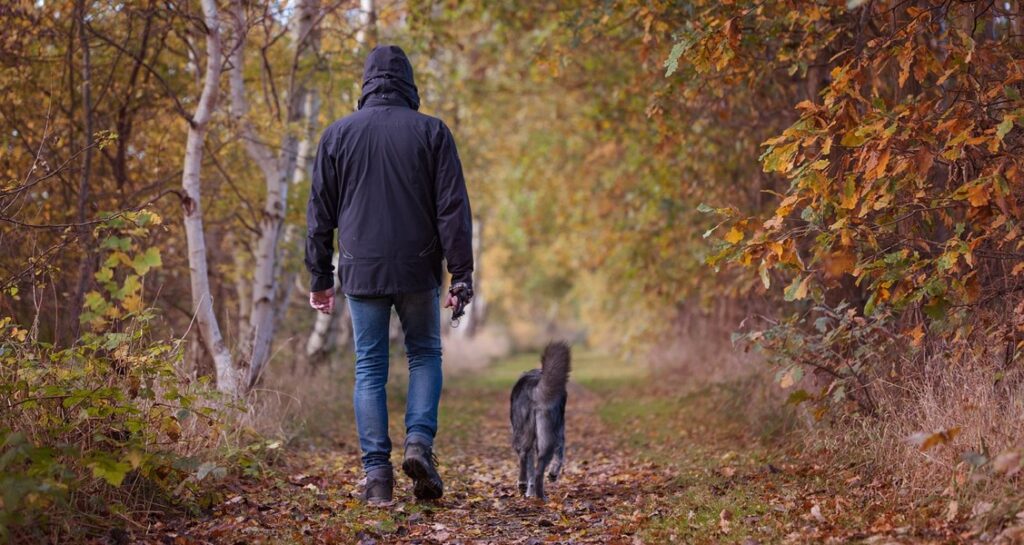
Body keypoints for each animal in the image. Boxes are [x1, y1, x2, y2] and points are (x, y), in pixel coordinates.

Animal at [509, 342, 573, 499]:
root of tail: (534, 385)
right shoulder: (559, 431)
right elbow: (560, 453)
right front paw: (553, 474)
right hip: (547, 434)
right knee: (538, 469)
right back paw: (540, 496)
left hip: (526, 433)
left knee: (524, 456)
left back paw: (525, 486)